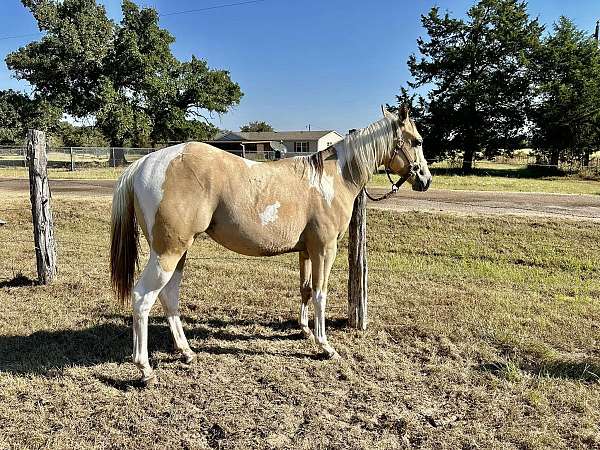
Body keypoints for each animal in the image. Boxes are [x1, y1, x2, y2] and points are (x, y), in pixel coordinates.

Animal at [111, 106, 432, 384]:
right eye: (417, 141)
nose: (426, 179)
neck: (331, 178)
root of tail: (145, 163)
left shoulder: (306, 251)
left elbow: (305, 290)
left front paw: (305, 331)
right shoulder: (324, 250)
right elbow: (320, 294)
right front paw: (325, 346)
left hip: (179, 252)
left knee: (169, 296)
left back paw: (186, 352)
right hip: (168, 252)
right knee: (143, 298)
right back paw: (145, 369)